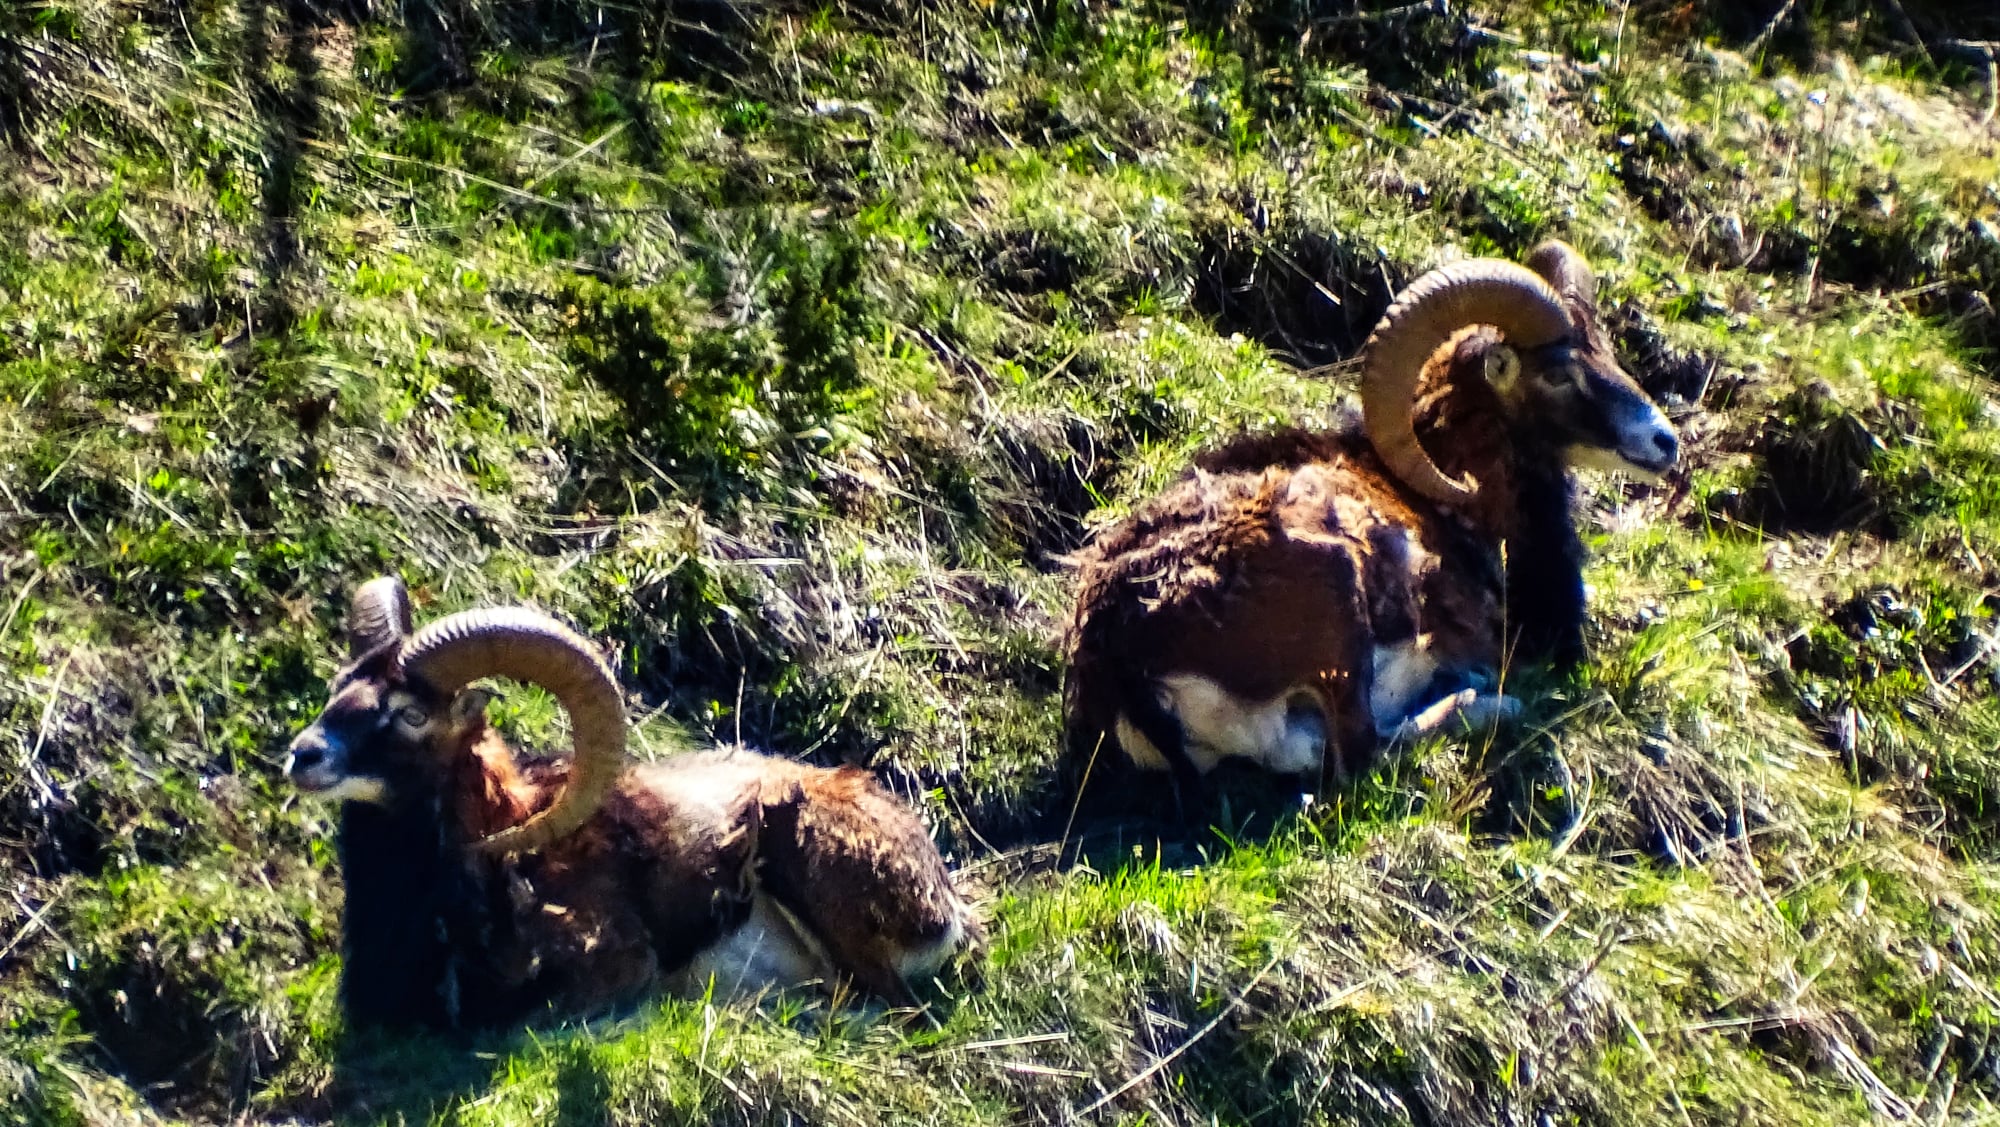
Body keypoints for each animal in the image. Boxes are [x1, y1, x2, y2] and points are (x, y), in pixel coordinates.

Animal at [1061, 240, 1680, 799]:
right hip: (1340, 606)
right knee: (1361, 754)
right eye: (1557, 375)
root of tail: (1115, 655)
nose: (1665, 442)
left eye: (1605, 351)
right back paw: (1482, 701)